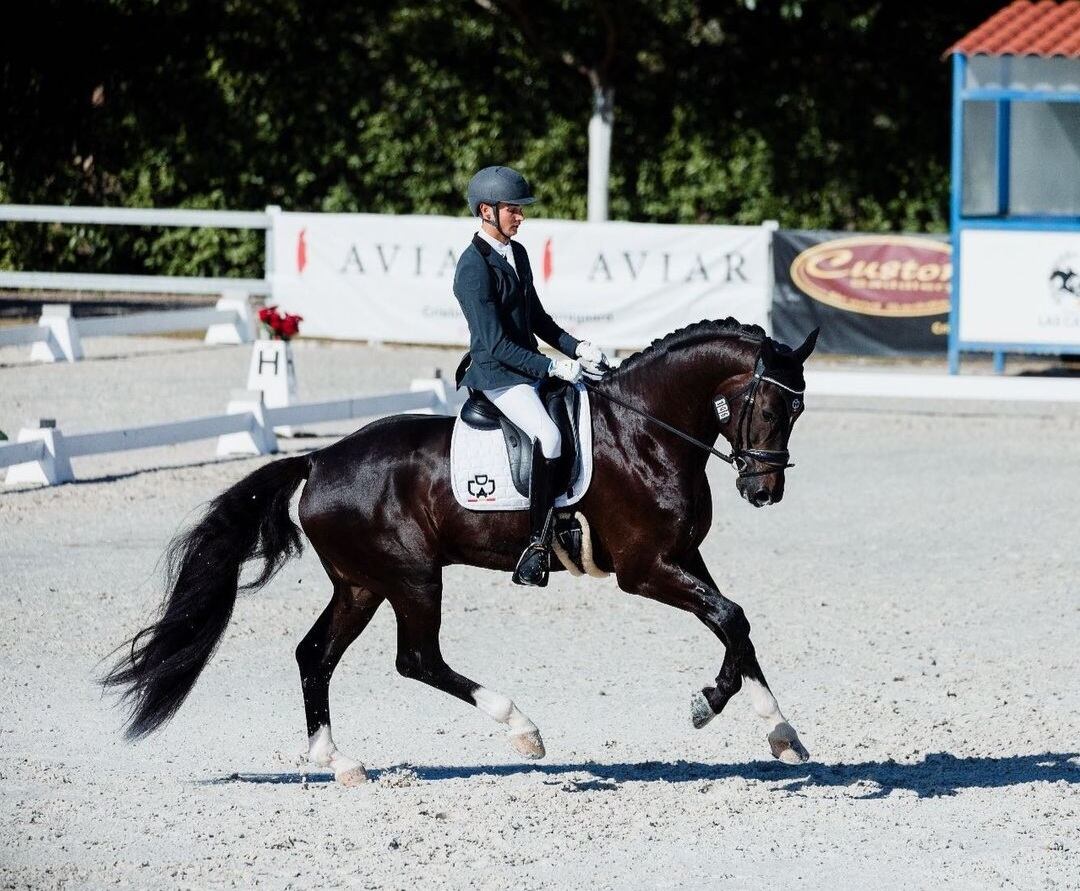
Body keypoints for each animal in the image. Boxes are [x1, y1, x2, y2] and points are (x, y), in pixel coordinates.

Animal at [107, 315, 816, 781]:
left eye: (798, 412)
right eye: (766, 407)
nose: (764, 490)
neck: (645, 432)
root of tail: (318, 460)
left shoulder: (683, 557)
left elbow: (736, 625)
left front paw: (774, 729)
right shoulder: (645, 569)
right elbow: (729, 617)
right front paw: (713, 707)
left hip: (362, 584)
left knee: (316, 654)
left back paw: (338, 762)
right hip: (413, 577)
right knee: (416, 658)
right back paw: (523, 730)